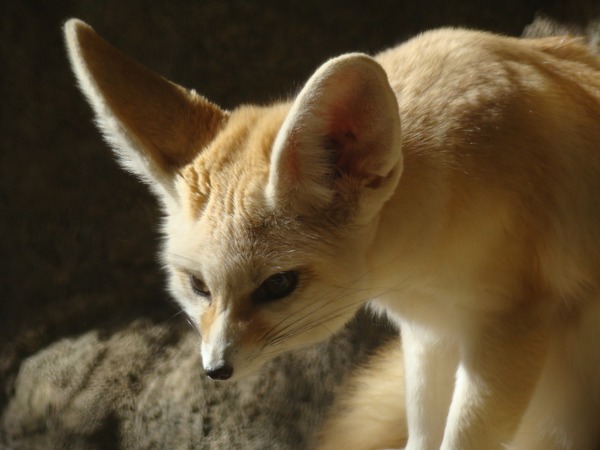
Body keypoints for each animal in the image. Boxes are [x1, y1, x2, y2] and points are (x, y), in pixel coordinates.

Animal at [65, 19, 600, 448]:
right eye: (198, 286)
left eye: (278, 285)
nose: (216, 370)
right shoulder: (431, 332)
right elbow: (424, 434)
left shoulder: (507, 328)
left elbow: (461, 437)